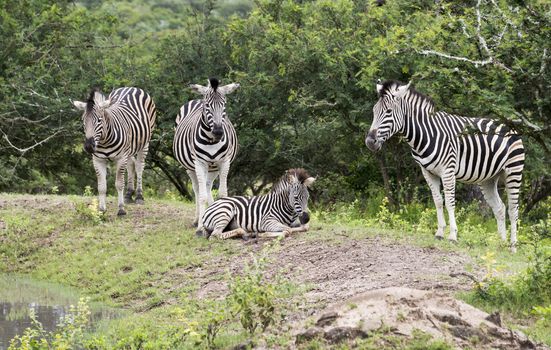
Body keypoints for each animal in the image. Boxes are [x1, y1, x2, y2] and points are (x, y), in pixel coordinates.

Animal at [72, 87, 156, 216]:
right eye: (83, 121)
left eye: (99, 120)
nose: (89, 147)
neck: (104, 141)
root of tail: (130, 87)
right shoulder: (98, 160)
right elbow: (101, 186)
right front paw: (101, 210)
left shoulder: (121, 158)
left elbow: (119, 184)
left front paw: (121, 209)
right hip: (129, 149)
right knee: (131, 165)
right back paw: (128, 195)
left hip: (145, 143)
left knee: (139, 166)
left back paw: (139, 196)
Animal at [174, 77, 240, 230]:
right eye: (208, 106)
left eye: (224, 105)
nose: (218, 132)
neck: (211, 140)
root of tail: (196, 99)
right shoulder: (200, 163)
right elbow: (202, 195)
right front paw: (200, 227)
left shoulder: (224, 162)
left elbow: (222, 194)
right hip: (190, 167)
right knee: (198, 189)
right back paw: (197, 219)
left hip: (213, 167)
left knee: (208, 186)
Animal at [366, 79, 528, 252]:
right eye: (374, 111)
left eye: (388, 111)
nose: (370, 142)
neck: (425, 134)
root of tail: (509, 125)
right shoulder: (428, 172)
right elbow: (438, 200)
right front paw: (439, 233)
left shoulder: (447, 171)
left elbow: (450, 202)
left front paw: (452, 236)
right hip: (488, 178)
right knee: (499, 208)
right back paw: (500, 244)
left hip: (514, 171)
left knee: (513, 210)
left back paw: (512, 247)